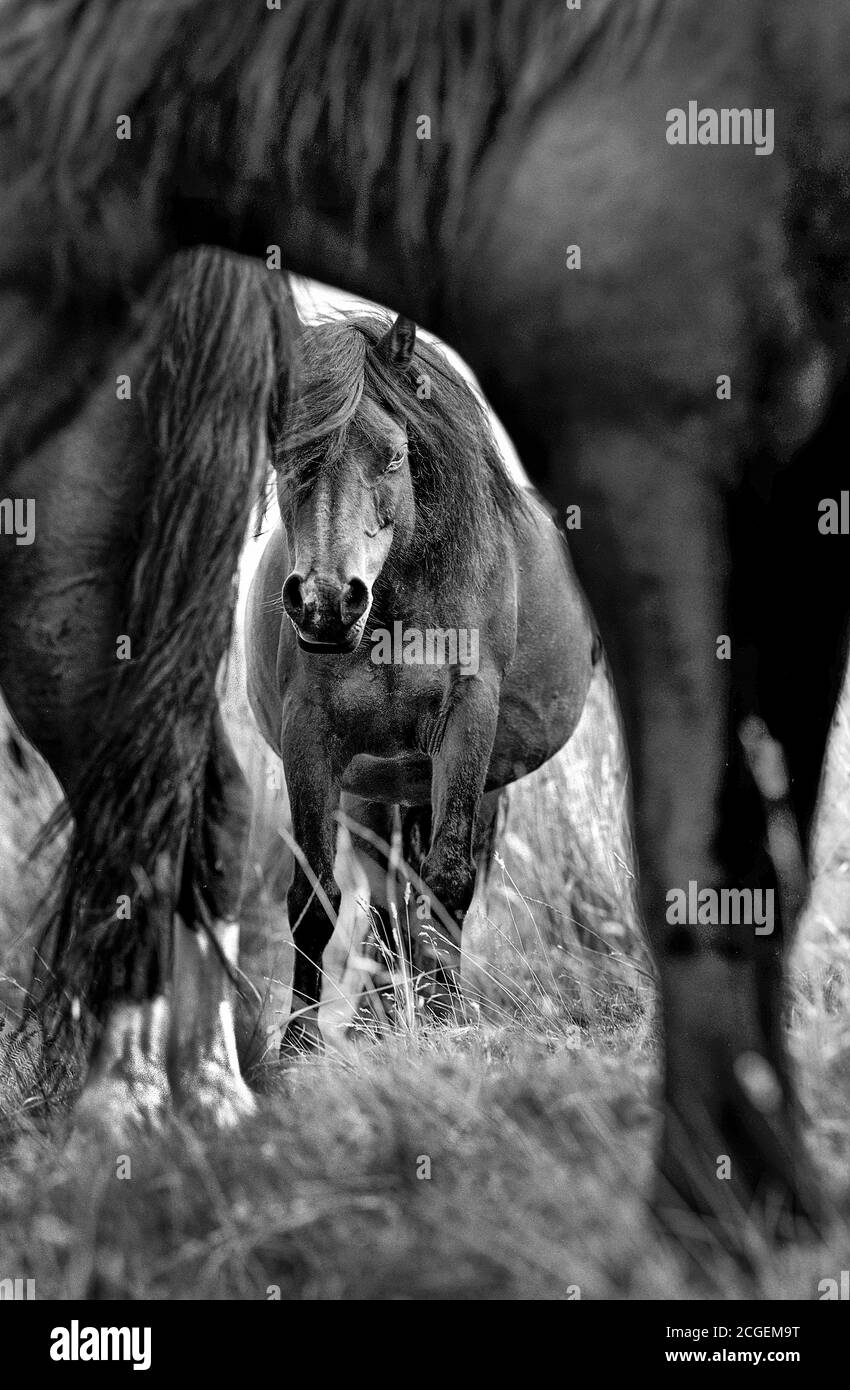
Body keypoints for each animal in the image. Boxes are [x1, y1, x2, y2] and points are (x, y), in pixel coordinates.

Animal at [246, 311, 596, 1053]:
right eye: (287, 456)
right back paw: (373, 1020)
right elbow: (314, 898)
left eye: (393, 456)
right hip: (369, 788)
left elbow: (449, 881)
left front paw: (444, 1023)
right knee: (383, 899)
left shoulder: (466, 726)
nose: (325, 603)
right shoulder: (309, 741)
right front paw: (298, 1045)